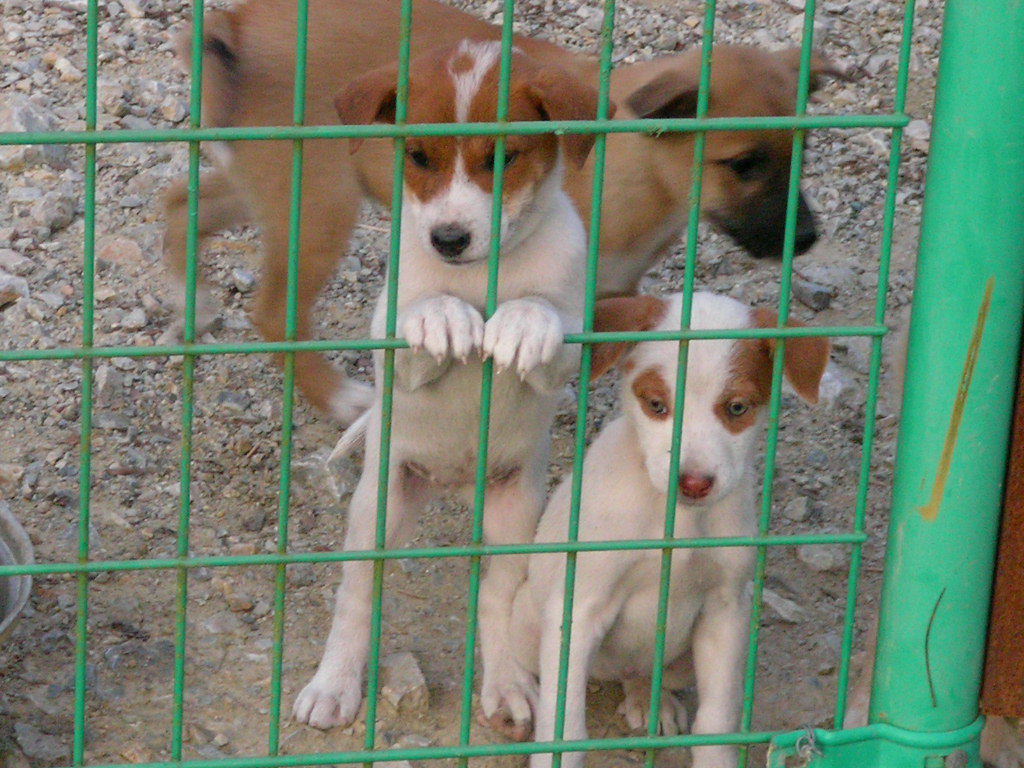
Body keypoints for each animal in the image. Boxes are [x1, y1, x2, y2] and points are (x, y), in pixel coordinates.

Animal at [162, 0, 844, 421]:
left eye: (805, 150)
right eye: (744, 163)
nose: (809, 239)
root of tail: (235, 25)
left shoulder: (612, 296)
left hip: (265, 179)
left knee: (180, 200)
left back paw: (190, 304)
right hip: (319, 203)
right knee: (274, 311)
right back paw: (339, 400)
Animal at [290, 41, 598, 737]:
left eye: (504, 158)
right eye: (420, 157)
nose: (449, 240)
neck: (484, 275)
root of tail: (456, 484)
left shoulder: (572, 344)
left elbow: (546, 319)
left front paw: (521, 320)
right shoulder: (392, 341)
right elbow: (418, 315)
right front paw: (443, 316)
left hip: (516, 514)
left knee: (498, 596)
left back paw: (507, 686)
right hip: (379, 505)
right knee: (357, 596)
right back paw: (332, 685)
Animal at [508, 291, 830, 768]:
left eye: (737, 408)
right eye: (656, 405)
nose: (693, 482)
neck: (679, 519)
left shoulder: (725, 610)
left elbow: (716, 722)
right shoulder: (580, 609)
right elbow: (565, 727)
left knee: (644, 674)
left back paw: (649, 698)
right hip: (532, 624)